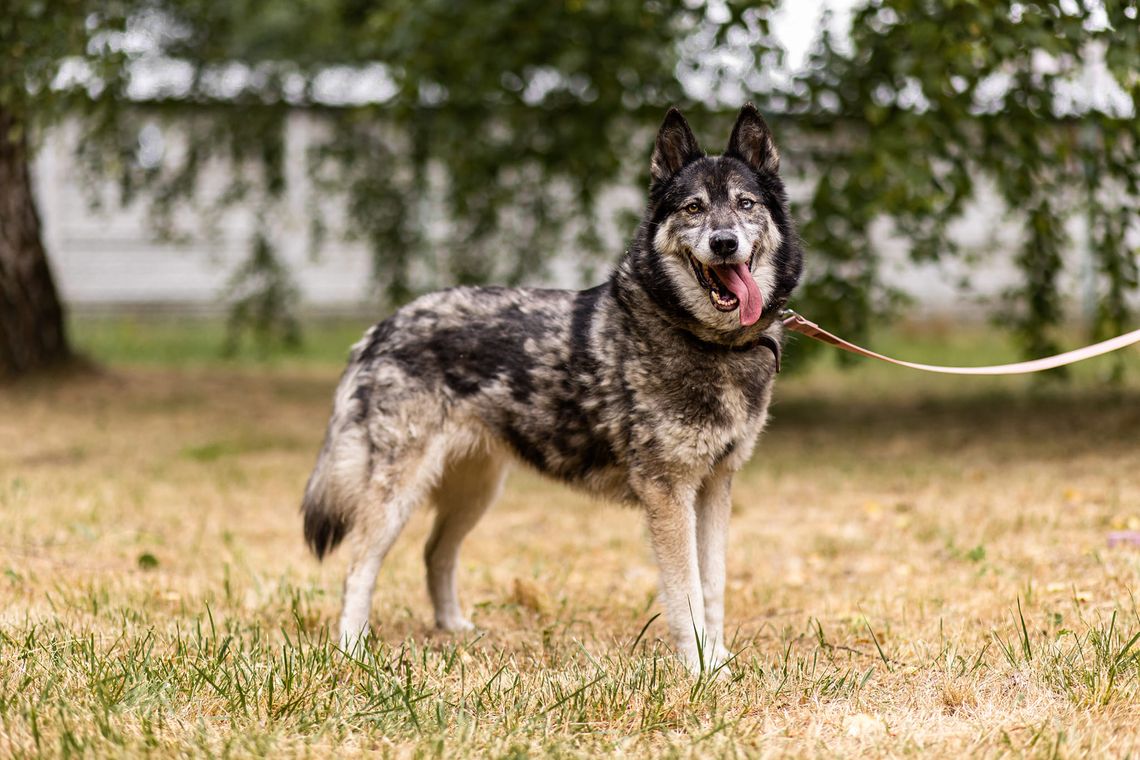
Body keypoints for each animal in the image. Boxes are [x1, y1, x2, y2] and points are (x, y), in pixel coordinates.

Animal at [300, 104, 802, 674]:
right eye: (693, 207)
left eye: (745, 204)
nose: (724, 242)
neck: (708, 341)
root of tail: (381, 328)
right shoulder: (669, 493)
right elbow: (687, 591)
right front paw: (699, 668)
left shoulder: (715, 486)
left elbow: (713, 584)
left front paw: (717, 660)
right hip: (396, 496)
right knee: (358, 566)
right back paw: (351, 650)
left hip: (475, 490)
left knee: (435, 552)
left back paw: (453, 629)